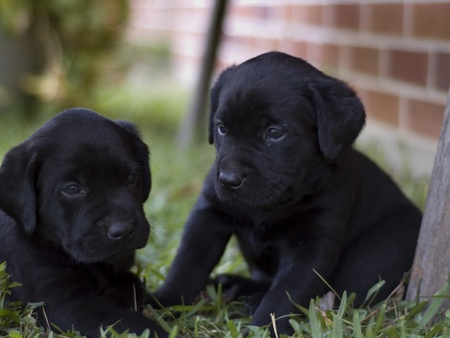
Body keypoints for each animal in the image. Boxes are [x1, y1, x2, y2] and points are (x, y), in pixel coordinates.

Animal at [0, 109, 169, 336]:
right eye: (72, 189)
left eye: (132, 178)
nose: (123, 230)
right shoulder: (63, 304)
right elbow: (132, 322)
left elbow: (135, 285)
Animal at [154, 51, 422, 334]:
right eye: (221, 128)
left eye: (274, 133)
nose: (228, 179)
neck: (271, 207)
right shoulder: (208, 213)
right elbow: (187, 264)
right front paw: (161, 303)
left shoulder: (312, 246)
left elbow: (283, 295)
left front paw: (262, 329)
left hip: (382, 248)